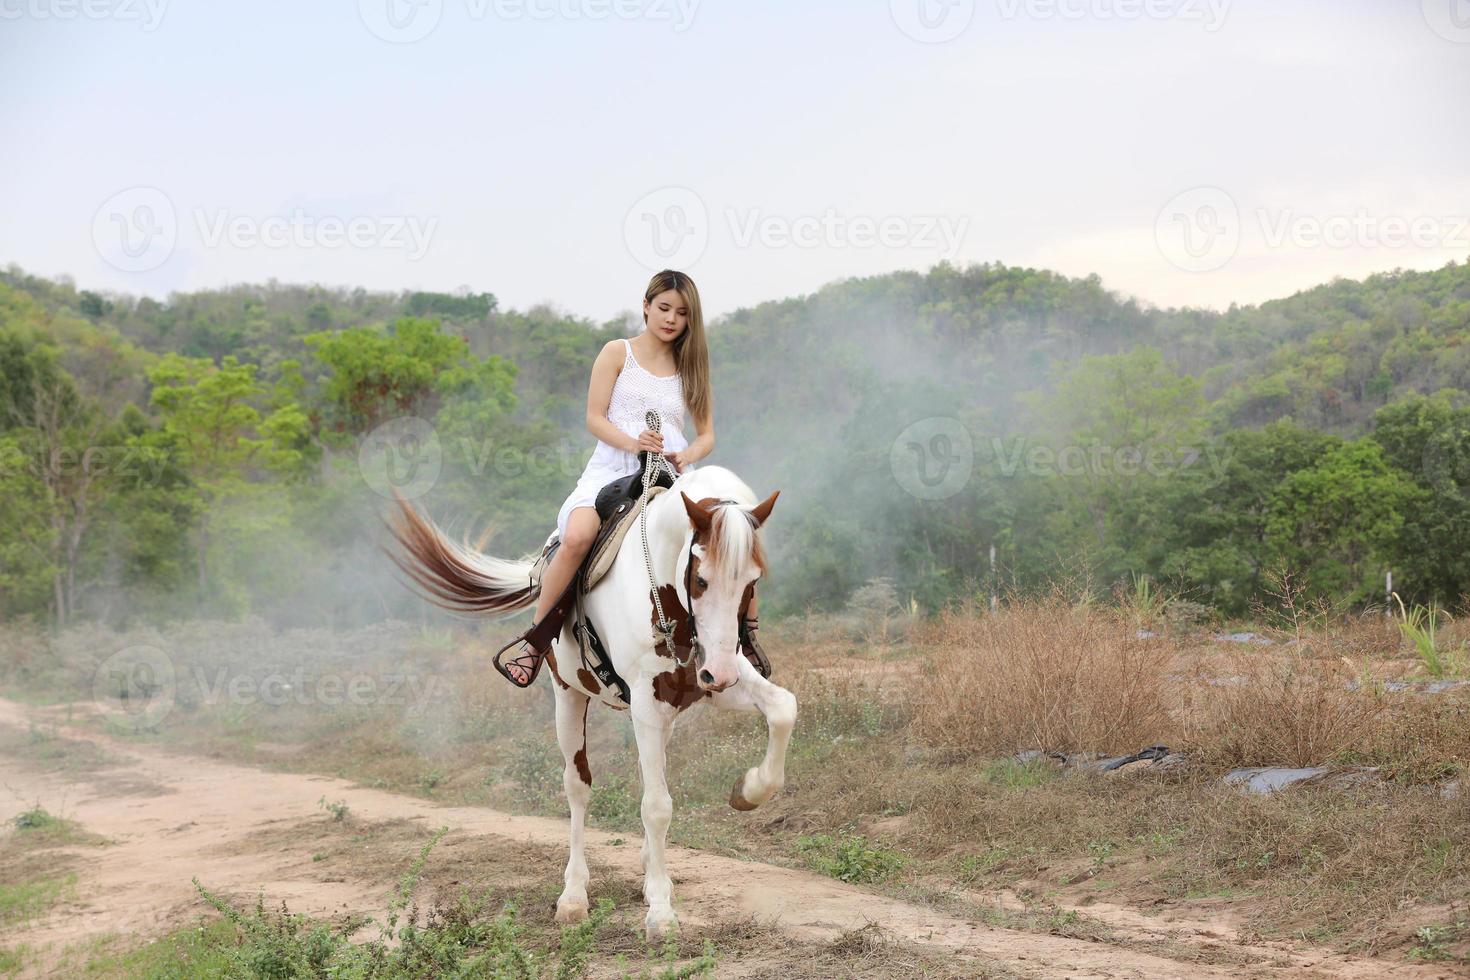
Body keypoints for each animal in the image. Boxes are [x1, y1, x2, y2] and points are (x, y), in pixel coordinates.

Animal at [379, 464, 793, 940]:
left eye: (752, 582)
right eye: (701, 579)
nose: (720, 672)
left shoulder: (711, 683)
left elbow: (784, 709)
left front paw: (749, 791)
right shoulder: (650, 700)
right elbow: (656, 806)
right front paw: (662, 915)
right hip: (568, 696)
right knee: (578, 787)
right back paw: (574, 896)